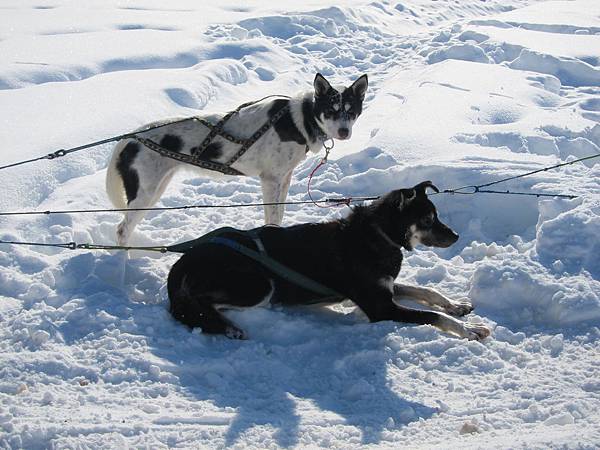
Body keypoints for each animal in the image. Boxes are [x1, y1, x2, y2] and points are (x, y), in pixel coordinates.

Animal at [105, 73, 368, 246]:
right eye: (331, 110)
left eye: (351, 111)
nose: (344, 131)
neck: (299, 120)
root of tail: (129, 139)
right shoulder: (270, 180)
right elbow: (272, 217)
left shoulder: (284, 178)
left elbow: (279, 214)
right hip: (144, 193)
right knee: (121, 230)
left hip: (155, 190)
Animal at [168, 182, 492, 342]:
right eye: (427, 219)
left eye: (436, 216)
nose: (456, 235)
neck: (376, 235)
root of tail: (184, 261)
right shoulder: (380, 307)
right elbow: (434, 316)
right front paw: (469, 330)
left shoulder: (384, 288)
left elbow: (426, 291)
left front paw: (456, 305)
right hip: (259, 285)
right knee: (199, 304)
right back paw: (228, 327)